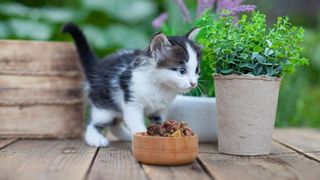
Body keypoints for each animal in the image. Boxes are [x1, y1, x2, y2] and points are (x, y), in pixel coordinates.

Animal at [61, 22, 201, 146]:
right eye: (182, 71)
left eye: (197, 70)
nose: (193, 83)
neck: (159, 85)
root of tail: (96, 67)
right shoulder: (132, 103)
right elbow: (136, 124)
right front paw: (143, 139)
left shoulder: (160, 109)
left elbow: (159, 123)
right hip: (103, 107)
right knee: (93, 123)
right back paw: (95, 139)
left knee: (115, 124)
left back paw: (126, 136)